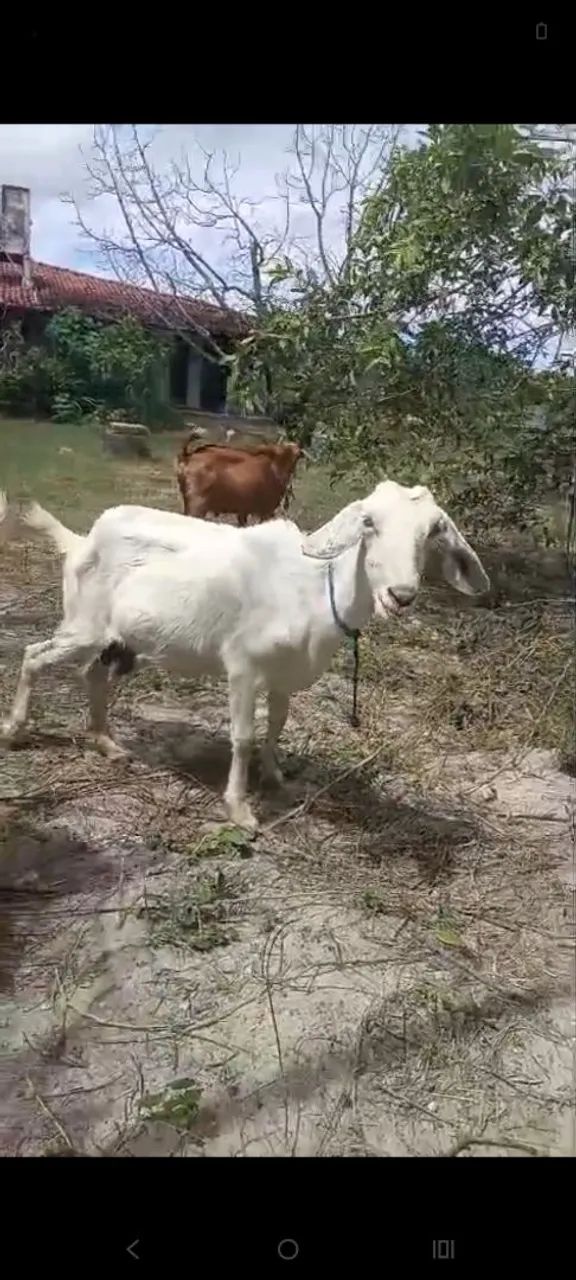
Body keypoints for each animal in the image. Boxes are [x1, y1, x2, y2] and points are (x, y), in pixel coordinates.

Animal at [0, 481, 490, 832]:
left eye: (433, 532)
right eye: (368, 523)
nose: (401, 595)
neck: (315, 589)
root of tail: (79, 540)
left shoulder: (284, 675)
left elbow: (277, 727)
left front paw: (276, 777)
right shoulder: (243, 665)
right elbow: (243, 736)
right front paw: (239, 809)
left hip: (117, 641)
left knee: (93, 674)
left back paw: (107, 743)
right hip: (84, 625)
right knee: (34, 654)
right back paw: (14, 730)